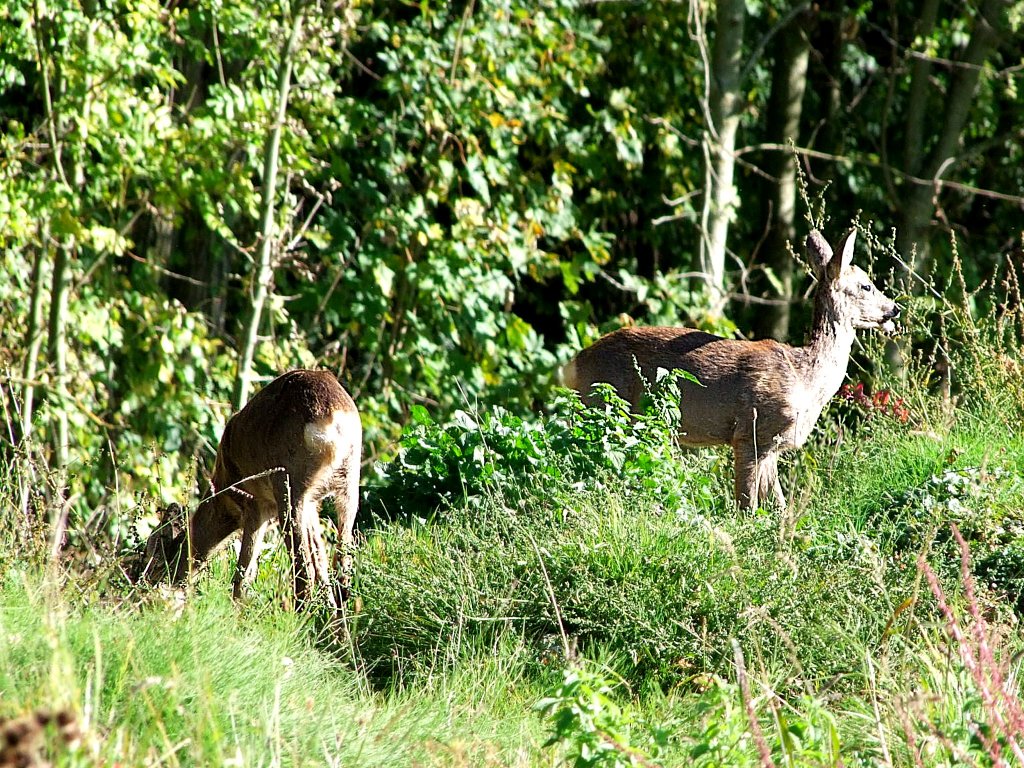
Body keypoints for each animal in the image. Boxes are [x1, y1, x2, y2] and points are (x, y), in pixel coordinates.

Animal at [142, 370, 362, 610]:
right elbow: (320, 558)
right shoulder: (312, 505)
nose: (147, 588)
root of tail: (332, 417)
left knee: (305, 571)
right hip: (348, 483)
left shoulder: (255, 503)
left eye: (158, 558)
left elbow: (244, 572)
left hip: (288, 483)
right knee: (341, 566)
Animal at [565, 228, 901, 512]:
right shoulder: (751, 430)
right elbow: (746, 505)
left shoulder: (771, 446)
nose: (894, 309)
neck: (805, 380)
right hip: (604, 401)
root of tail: (576, 362)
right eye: (866, 285)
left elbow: (778, 505)